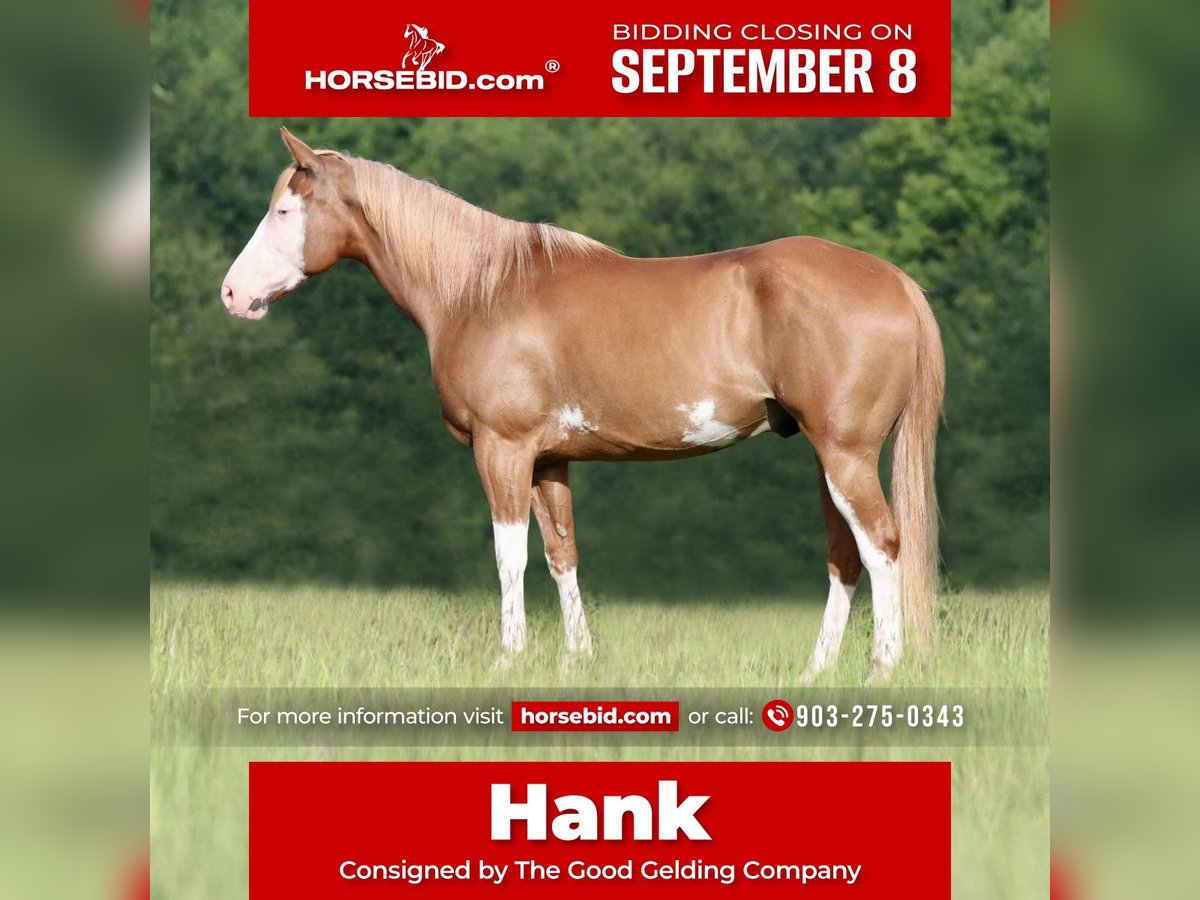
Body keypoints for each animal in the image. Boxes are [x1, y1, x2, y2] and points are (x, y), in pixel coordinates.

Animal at [220, 128, 945, 682]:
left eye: (283, 211)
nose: (231, 294)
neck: (480, 291)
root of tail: (895, 280)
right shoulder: (548, 461)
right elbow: (560, 555)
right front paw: (577, 660)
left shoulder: (503, 449)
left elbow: (509, 555)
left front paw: (508, 660)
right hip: (828, 459)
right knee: (845, 556)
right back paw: (815, 673)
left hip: (846, 455)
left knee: (882, 546)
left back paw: (881, 669)